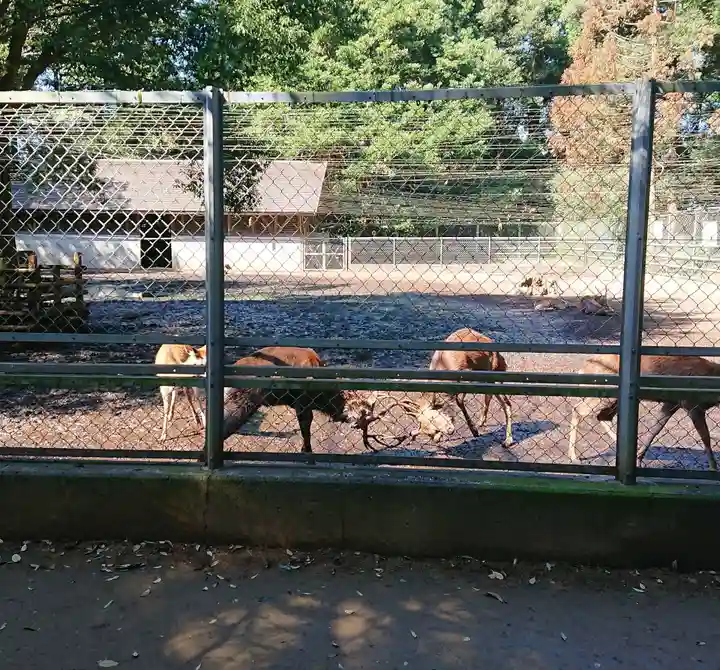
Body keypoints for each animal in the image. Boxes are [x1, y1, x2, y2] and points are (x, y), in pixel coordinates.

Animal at [222, 346, 454, 453]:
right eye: (363, 416)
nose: (353, 424)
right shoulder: (303, 402)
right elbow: (306, 430)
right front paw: (306, 452)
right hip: (243, 402)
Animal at [567, 354, 720, 471]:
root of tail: (582, 369)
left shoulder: (672, 403)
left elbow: (655, 429)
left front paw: (639, 459)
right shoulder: (692, 404)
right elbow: (706, 438)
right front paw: (714, 468)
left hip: (612, 399)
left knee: (602, 416)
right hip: (605, 393)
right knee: (578, 409)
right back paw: (573, 456)